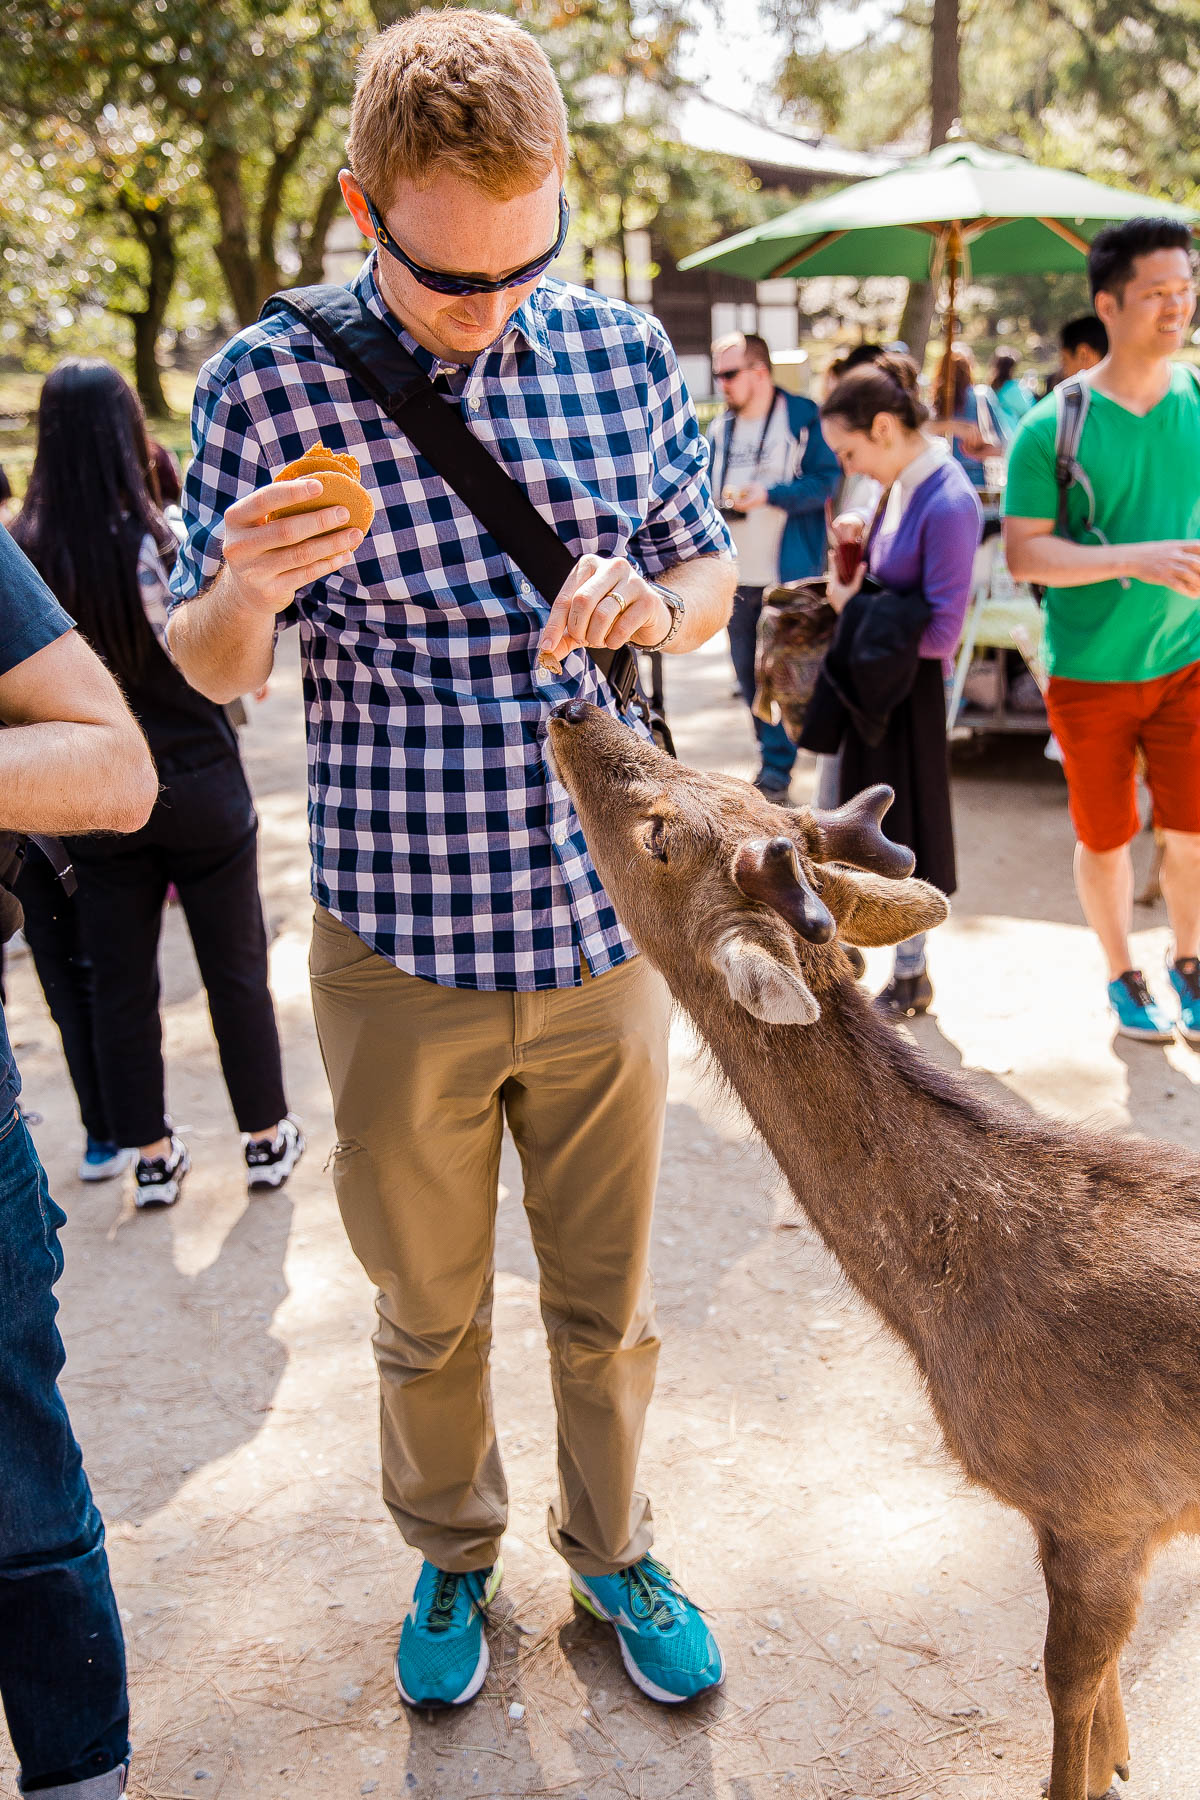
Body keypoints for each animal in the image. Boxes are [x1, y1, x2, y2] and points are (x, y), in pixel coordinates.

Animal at [546, 694, 1200, 1800]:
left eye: (660, 834)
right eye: (732, 786)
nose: (573, 702)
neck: (943, 1314)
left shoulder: (1100, 1503)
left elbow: (1067, 1684)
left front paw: (1091, 1768)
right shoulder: (1118, 1525)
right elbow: (1104, 1686)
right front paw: (1121, 1759)